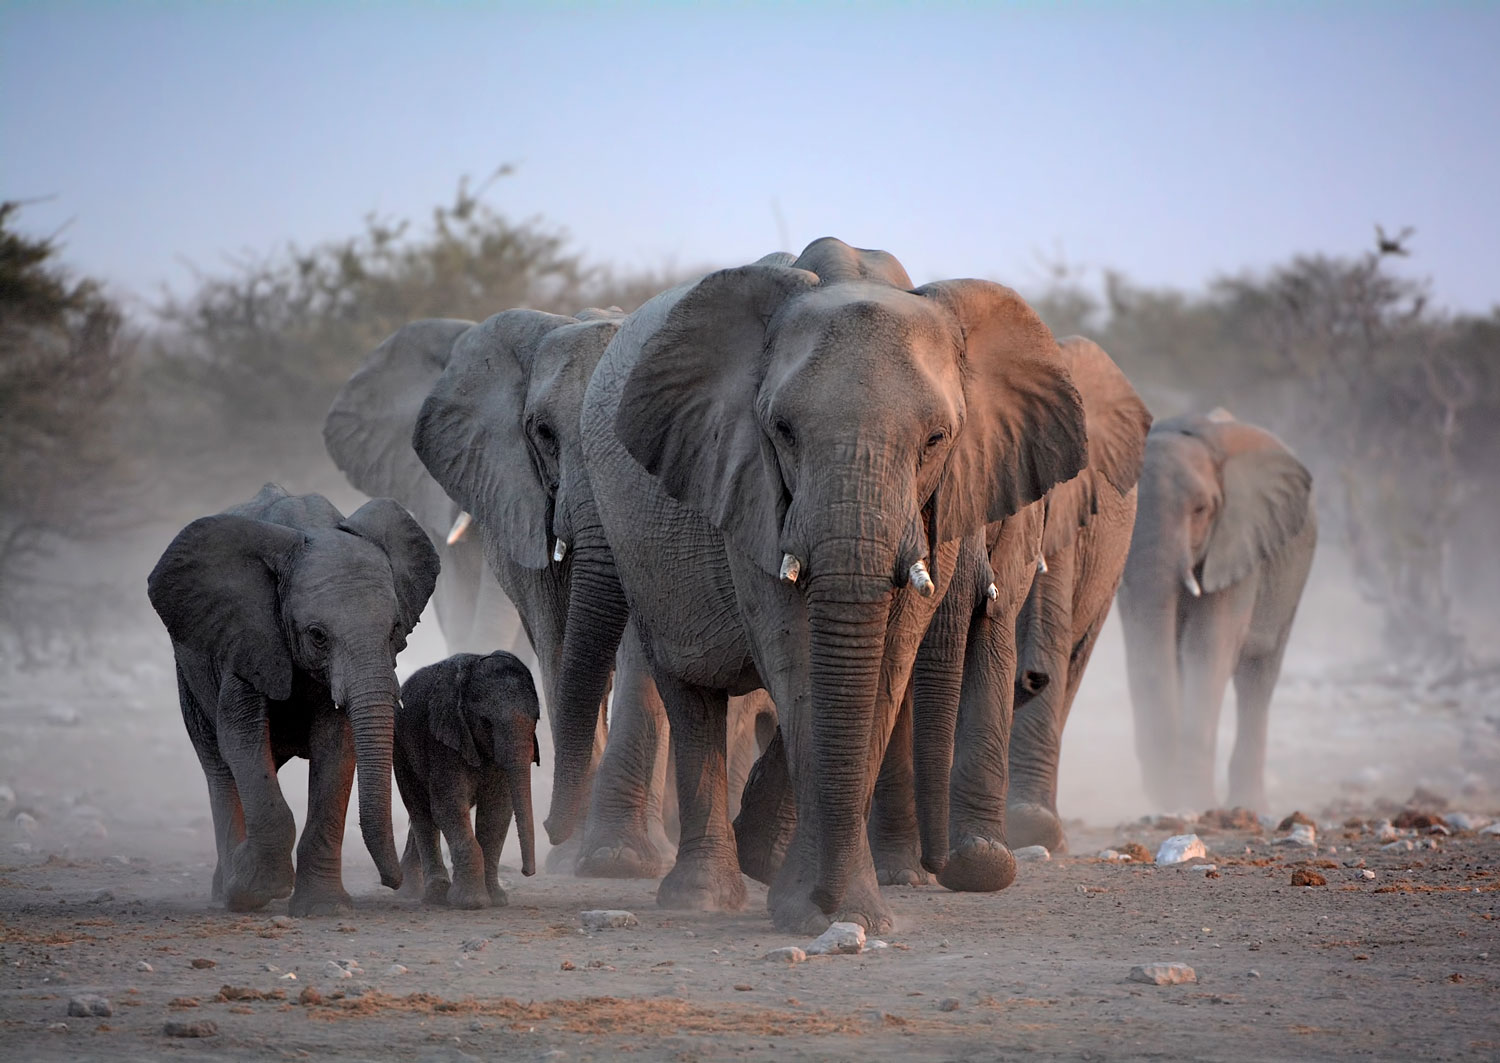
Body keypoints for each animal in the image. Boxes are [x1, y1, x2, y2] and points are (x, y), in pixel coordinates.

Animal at [145, 485, 438, 905]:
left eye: (395, 629)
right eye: (317, 635)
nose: (393, 884)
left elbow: (337, 744)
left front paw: (325, 907)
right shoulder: (247, 635)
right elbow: (240, 737)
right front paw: (254, 886)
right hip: (189, 670)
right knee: (217, 762)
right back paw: (227, 890)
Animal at [396, 650, 543, 905]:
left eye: (537, 719)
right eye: (486, 722)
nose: (528, 872)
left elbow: (496, 812)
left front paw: (497, 900)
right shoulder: (443, 740)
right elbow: (450, 807)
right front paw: (471, 902)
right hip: (400, 746)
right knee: (420, 810)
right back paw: (433, 895)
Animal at [546, 238, 1086, 929]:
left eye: (936, 439)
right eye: (783, 432)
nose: (942, 867)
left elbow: (884, 667)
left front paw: (846, 912)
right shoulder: (747, 481)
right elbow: (795, 652)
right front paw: (821, 911)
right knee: (688, 689)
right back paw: (703, 895)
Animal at [1116, 410, 1314, 809]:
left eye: (1201, 509)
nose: (1165, 797)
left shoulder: (1238, 543)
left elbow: (1207, 648)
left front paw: (1194, 804)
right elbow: (1146, 652)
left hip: (1291, 580)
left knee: (1258, 678)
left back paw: (1248, 806)